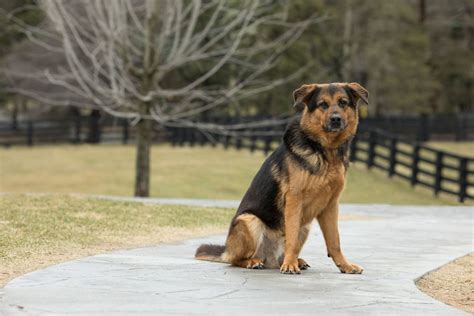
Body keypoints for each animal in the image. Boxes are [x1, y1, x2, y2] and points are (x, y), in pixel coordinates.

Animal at [194, 81, 368, 274]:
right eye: (323, 104)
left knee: (279, 256)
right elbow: (291, 238)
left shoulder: (331, 205)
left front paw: (345, 265)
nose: (336, 119)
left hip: (304, 227)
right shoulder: (294, 200)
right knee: (236, 260)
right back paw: (256, 262)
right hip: (249, 221)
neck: (325, 151)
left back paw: (295, 261)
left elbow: (334, 241)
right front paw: (290, 265)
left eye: (343, 102)